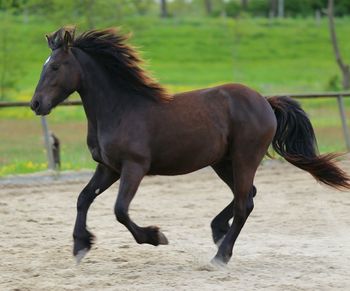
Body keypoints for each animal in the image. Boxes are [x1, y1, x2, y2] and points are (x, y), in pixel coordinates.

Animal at [30, 26, 350, 266]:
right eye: (44, 66)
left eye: (55, 66)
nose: (35, 104)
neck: (119, 109)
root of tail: (264, 101)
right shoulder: (109, 167)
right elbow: (83, 198)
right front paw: (80, 247)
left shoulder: (134, 166)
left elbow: (120, 209)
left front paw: (155, 237)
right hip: (222, 162)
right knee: (247, 196)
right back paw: (218, 232)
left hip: (245, 157)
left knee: (244, 203)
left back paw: (220, 256)